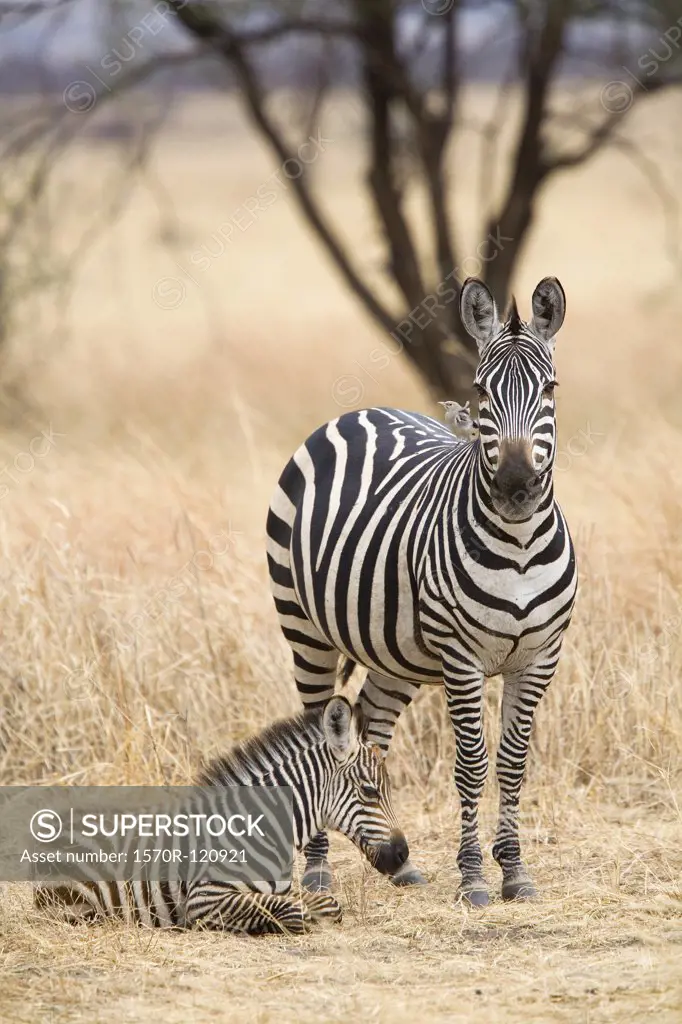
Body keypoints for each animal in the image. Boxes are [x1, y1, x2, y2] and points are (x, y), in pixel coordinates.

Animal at [35, 696, 403, 937]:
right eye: (370, 791)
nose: (402, 854)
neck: (262, 829)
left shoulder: (283, 889)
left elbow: (328, 905)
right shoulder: (203, 897)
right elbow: (290, 911)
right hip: (82, 906)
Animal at [266, 274, 573, 905]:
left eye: (550, 387)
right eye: (480, 390)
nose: (515, 487)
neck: (520, 544)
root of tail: (361, 411)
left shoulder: (540, 657)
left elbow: (512, 763)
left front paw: (515, 872)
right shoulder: (461, 657)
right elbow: (473, 765)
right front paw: (475, 877)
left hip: (396, 652)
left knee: (372, 728)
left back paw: (397, 865)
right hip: (303, 629)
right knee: (318, 734)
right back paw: (317, 872)